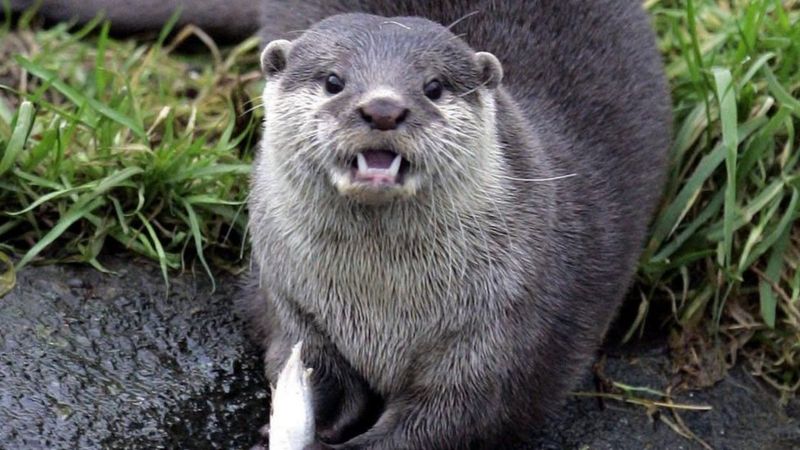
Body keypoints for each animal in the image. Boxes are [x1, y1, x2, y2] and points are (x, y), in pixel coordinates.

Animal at [10, 1, 676, 448]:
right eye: (334, 79)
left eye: (434, 86)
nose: (382, 107)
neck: (382, 306)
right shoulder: (292, 298)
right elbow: (300, 364)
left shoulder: (506, 328)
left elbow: (453, 417)